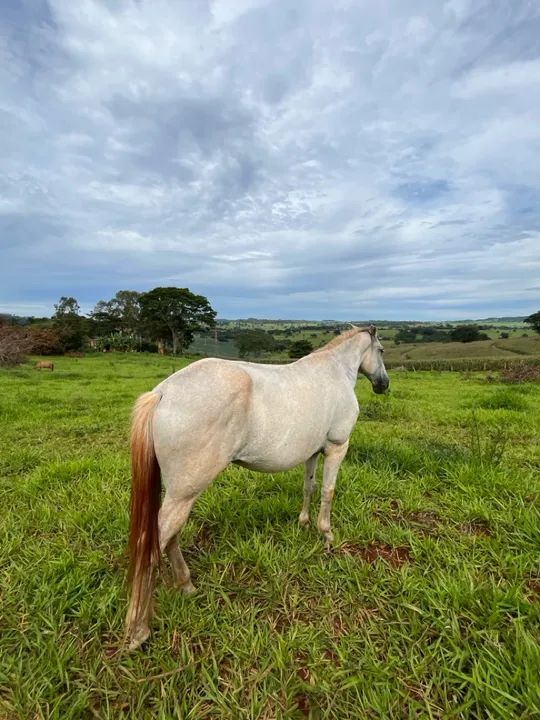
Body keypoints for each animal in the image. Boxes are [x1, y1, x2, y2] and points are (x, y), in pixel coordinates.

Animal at [125, 325, 389, 649]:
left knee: (171, 536)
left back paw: (186, 586)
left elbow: (309, 487)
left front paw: (303, 523)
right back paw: (138, 631)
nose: (383, 384)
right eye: (381, 351)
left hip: (178, 494)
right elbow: (328, 492)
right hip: (183, 494)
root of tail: (162, 393)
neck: (336, 370)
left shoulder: (312, 453)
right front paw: (326, 535)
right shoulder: (337, 448)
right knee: (152, 546)